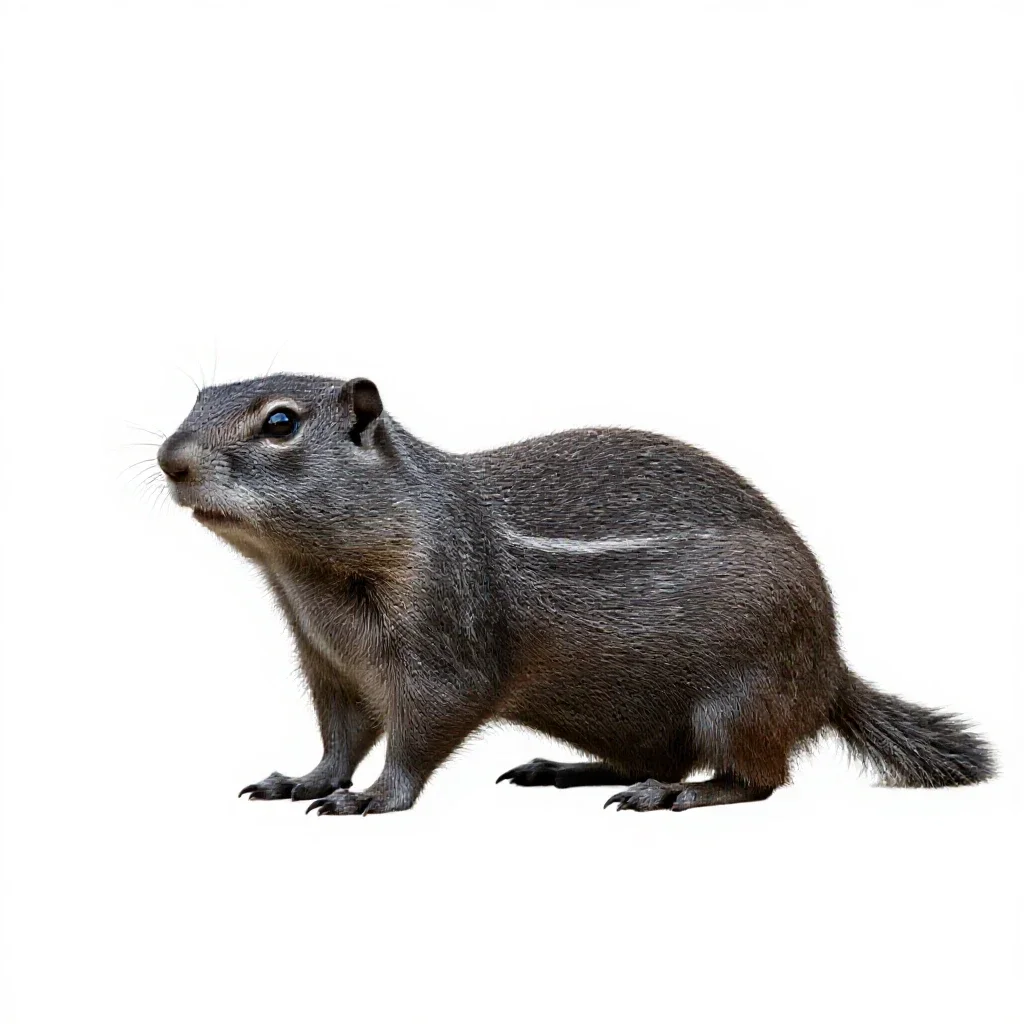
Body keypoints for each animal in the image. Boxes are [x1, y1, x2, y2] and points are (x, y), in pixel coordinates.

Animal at [157, 374, 995, 814]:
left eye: (281, 423)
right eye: (196, 397)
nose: (171, 459)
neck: (306, 581)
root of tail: (831, 670)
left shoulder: (446, 642)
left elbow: (422, 730)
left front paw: (373, 797)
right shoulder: (329, 664)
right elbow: (340, 735)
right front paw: (302, 779)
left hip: (741, 698)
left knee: (757, 778)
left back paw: (673, 797)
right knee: (662, 757)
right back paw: (568, 770)